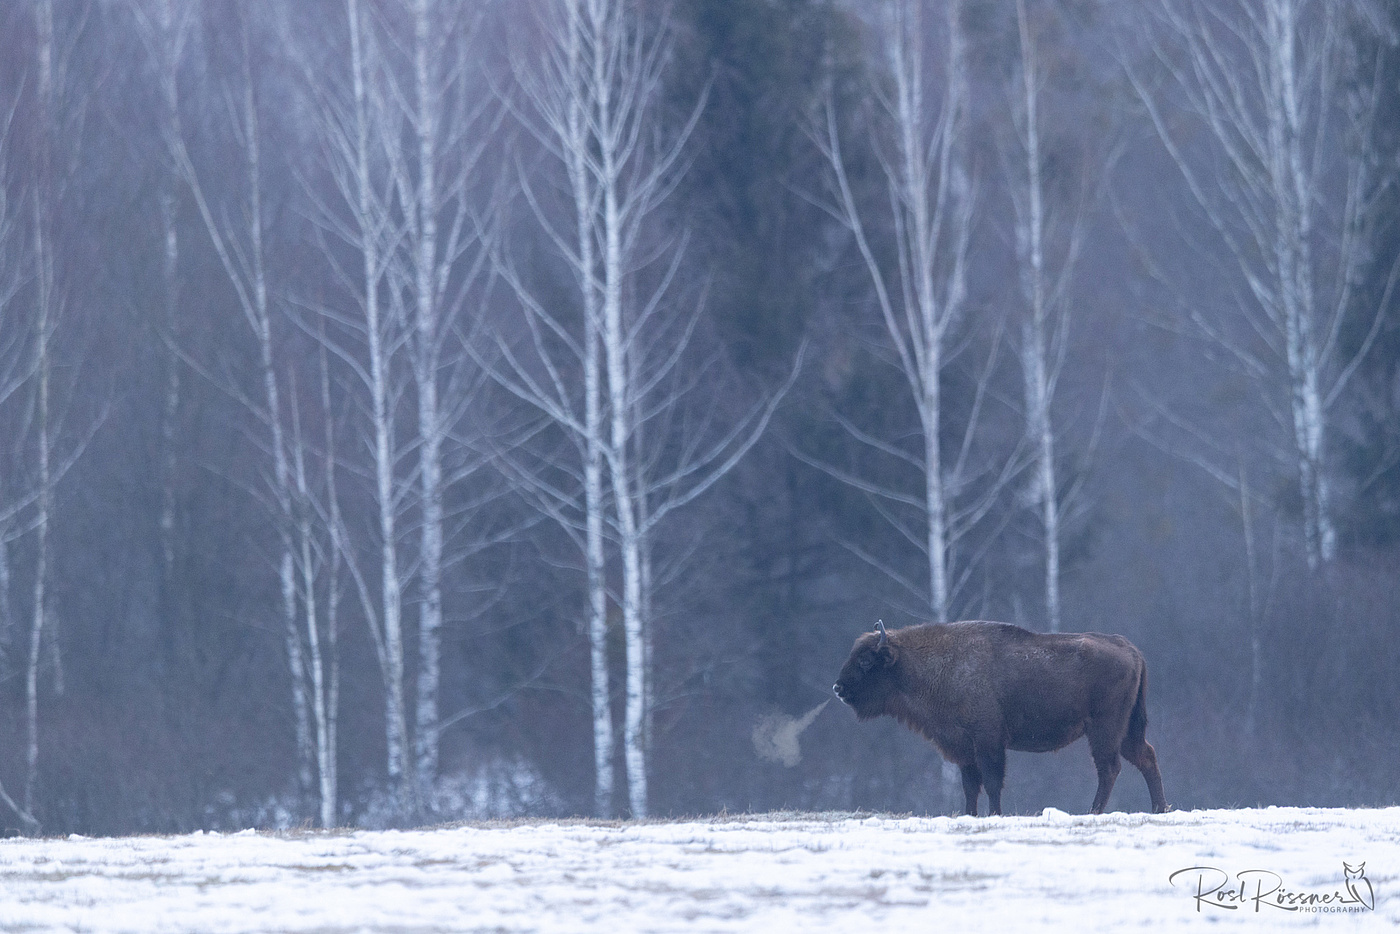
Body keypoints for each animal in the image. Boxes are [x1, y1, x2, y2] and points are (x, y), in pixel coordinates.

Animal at [833, 620, 1168, 816]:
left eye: (866, 661)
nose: (838, 688)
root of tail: (1130, 649)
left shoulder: (988, 740)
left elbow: (992, 782)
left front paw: (994, 813)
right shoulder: (964, 748)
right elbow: (971, 785)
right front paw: (968, 815)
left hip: (1104, 729)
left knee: (1109, 768)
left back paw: (1094, 811)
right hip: (1126, 730)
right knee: (1145, 757)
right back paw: (1159, 808)